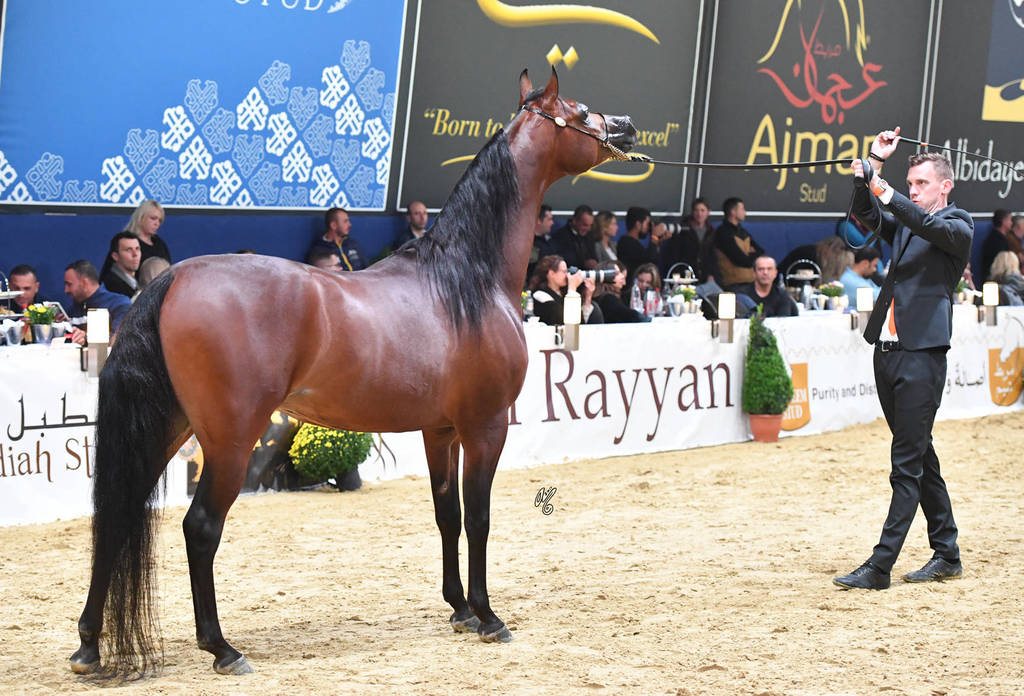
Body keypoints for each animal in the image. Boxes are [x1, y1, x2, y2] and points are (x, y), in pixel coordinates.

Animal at [69, 68, 637, 679]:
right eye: (581, 111)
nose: (627, 127)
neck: (467, 278)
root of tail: (173, 278)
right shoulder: (485, 427)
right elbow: (480, 518)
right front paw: (488, 616)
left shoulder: (440, 430)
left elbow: (447, 514)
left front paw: (459, 609)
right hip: (229, 439)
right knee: (200, 528)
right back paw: (222, 648)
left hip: (169, 427)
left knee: (118, 517)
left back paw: (89, 647)